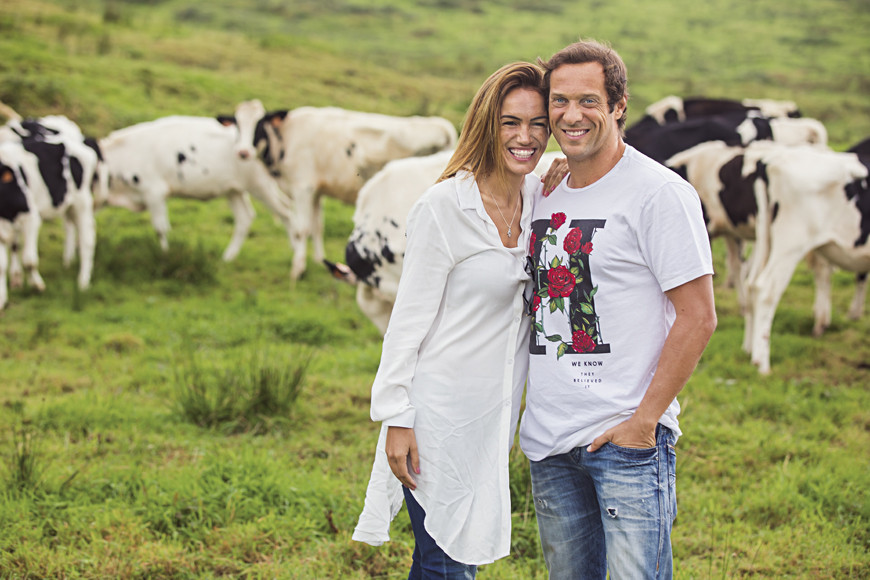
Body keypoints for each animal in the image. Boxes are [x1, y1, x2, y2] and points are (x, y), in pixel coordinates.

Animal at [232, 101, 464, 282]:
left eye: (259, 124)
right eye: (237, 124)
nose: (243, 152)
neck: (287, 137)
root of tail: (441, 125)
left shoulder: (302, 188)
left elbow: (301, 230)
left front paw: (297, 270)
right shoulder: (316, 191)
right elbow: (317, 227)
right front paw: (318, 260)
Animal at [744, 143, 870, 374]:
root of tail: (771, 159)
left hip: (765, 238)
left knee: (751, 283)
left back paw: (750, 348)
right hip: (791, 242)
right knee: (767, 289)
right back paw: (762, 363)